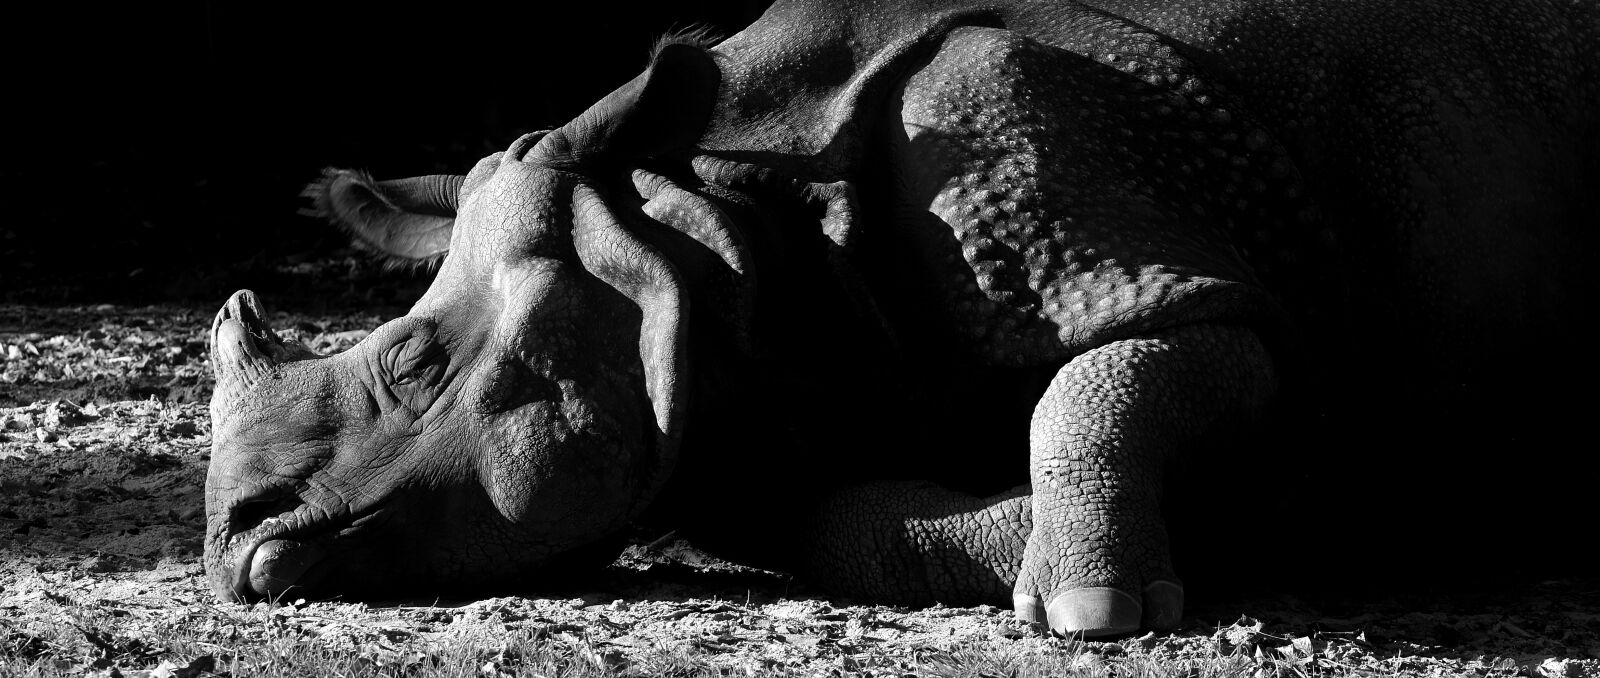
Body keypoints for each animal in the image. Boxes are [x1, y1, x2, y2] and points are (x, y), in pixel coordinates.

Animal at [206, 0, 1597, 637]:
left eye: (413, 362)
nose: (232, 548)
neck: (702, 226)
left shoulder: (1138, 251)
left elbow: (1125, 377)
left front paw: (1095, 609)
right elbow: (852, 523)